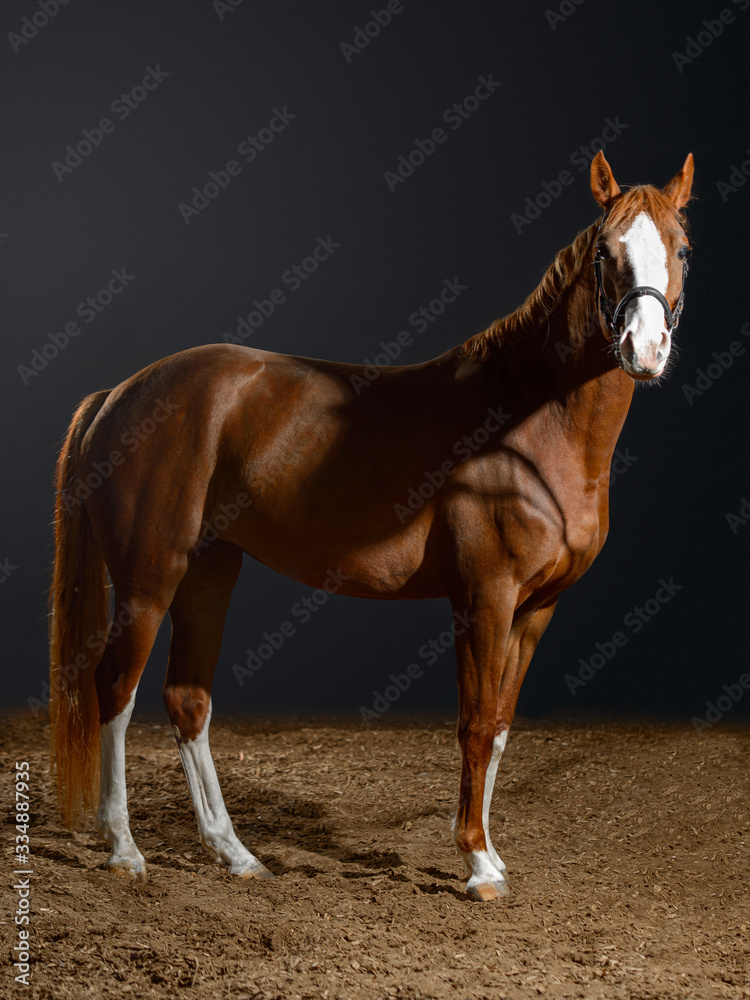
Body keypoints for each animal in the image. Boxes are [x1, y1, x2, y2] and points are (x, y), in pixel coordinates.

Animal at [49, 150, 694, 901]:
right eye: (604, 251)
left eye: (680, 247)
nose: (644, 349)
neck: (528, 426)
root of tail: (120, 393)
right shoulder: (484, 598)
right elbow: (476, 724)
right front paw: (477, 865)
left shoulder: (538, 607)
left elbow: (502, 726)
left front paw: (492, 855)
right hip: (150, 578)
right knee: (114, 692)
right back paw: (124, 848)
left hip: (209, 571)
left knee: (187, 700)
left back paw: (234, 852)